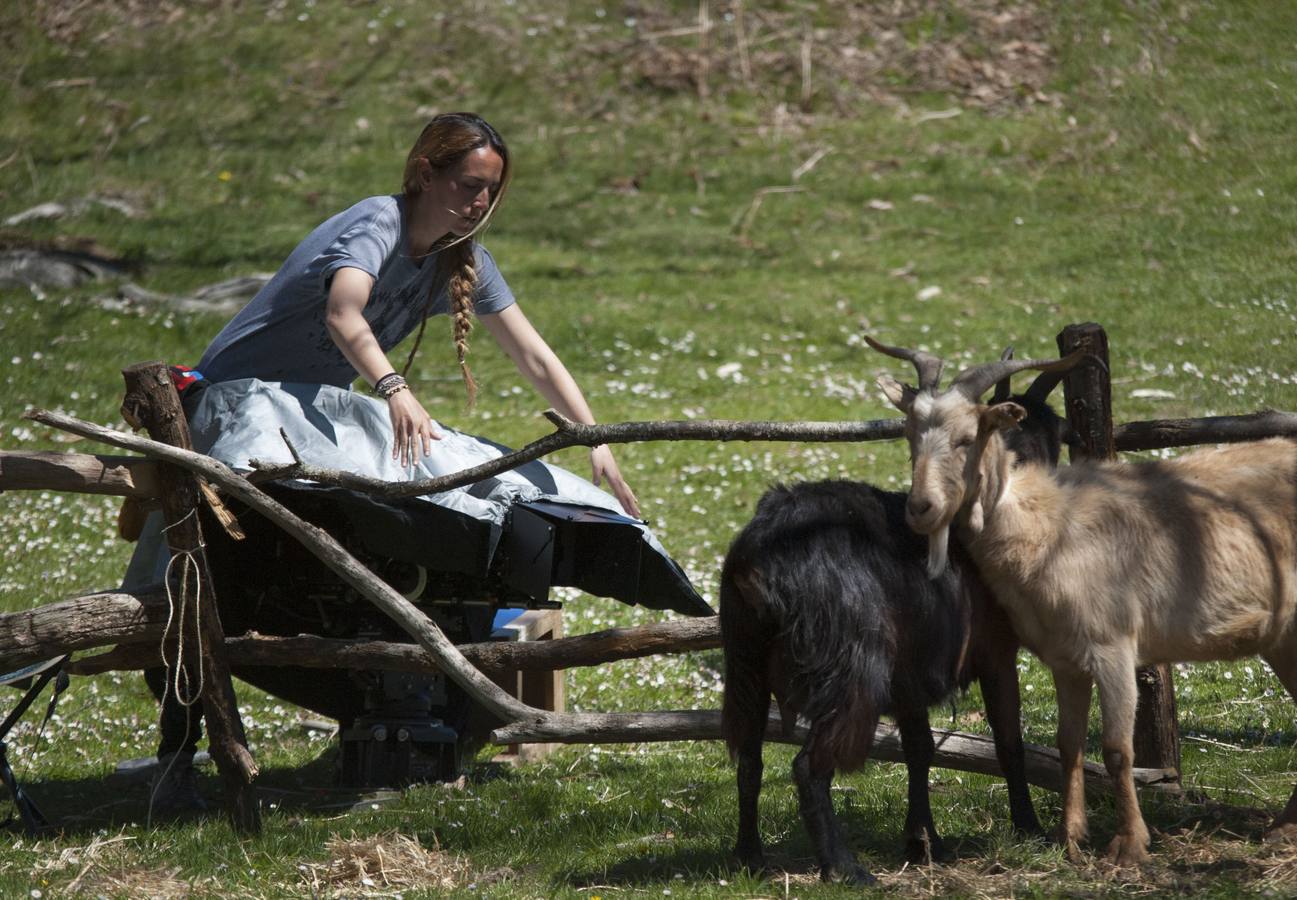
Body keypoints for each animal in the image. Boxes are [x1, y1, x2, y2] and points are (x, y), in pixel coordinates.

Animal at [721, 363, 1063, 887]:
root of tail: (758, 559)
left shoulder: (911, 671)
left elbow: (919, 749)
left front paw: (924, 842)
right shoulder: (995, 653)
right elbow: (1010, 742)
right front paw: (1030, 828)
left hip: (745, 661)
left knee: (749, 759)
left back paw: (750, 857)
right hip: (850, 668)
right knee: (808, 766)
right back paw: (843, 869)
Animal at [861, 337, 1297, 866]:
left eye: (968, 438)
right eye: (908, 434)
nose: (921, 509)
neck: (1049, 525)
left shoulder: (1114, 646)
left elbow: (1116, 749)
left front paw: (1129, 845)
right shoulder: (1064, 658)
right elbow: (1069, 744)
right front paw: (1069, 838)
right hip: (1282, 638)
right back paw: (1282, 829)